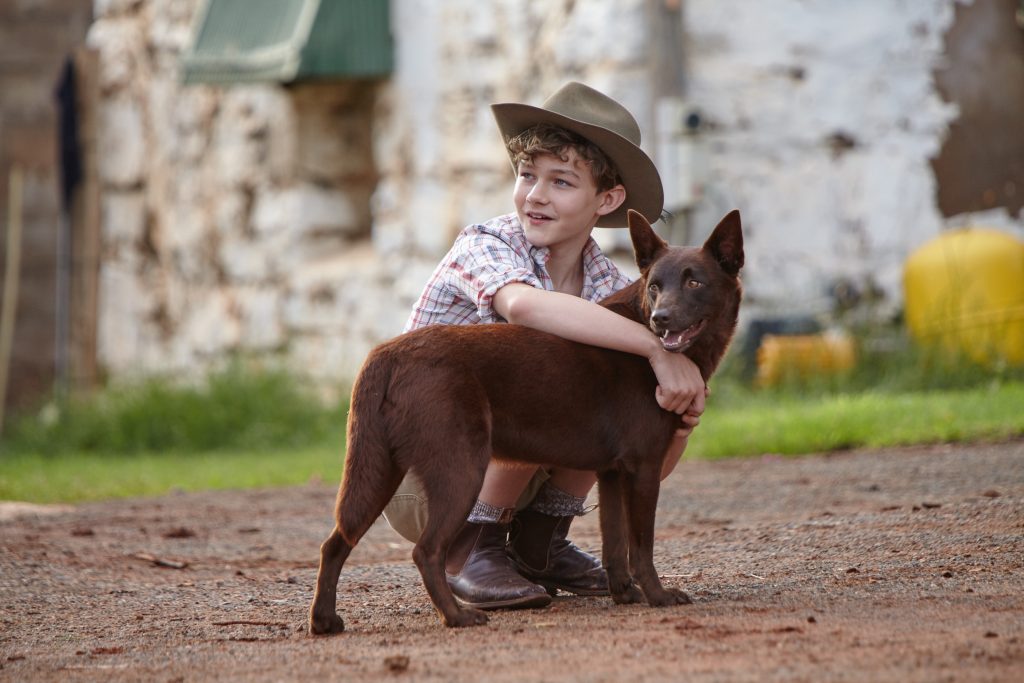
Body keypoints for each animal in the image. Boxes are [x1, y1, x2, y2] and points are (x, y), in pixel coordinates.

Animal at [307, 210, 741, 634]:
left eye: (695, 282)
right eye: (654, 287)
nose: (661, 319)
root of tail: (387, 354)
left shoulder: (613, 474)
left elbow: (615, 543)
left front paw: (625, 594)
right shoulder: (643, 467)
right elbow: (642, 545)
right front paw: (658, 595)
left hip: (377, 469)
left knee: (335, 542)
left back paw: (325, 621)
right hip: (461, 468)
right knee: (426, 551)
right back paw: (458, 616)